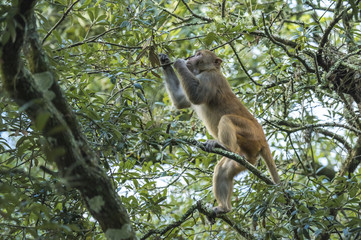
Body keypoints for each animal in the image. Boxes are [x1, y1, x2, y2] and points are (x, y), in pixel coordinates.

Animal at [158, 50, 278, 214]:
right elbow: (180, 100)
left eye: (198, 54)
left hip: (251, 134)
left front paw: (179, 63)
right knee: (223, 170)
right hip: (247, 156)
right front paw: (165, 60)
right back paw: (224, 208)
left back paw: (223, 146)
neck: (207, 70)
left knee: (226, 119)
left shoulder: (211, 78)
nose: (191, 57)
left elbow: (196, 96)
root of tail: (263, 140)